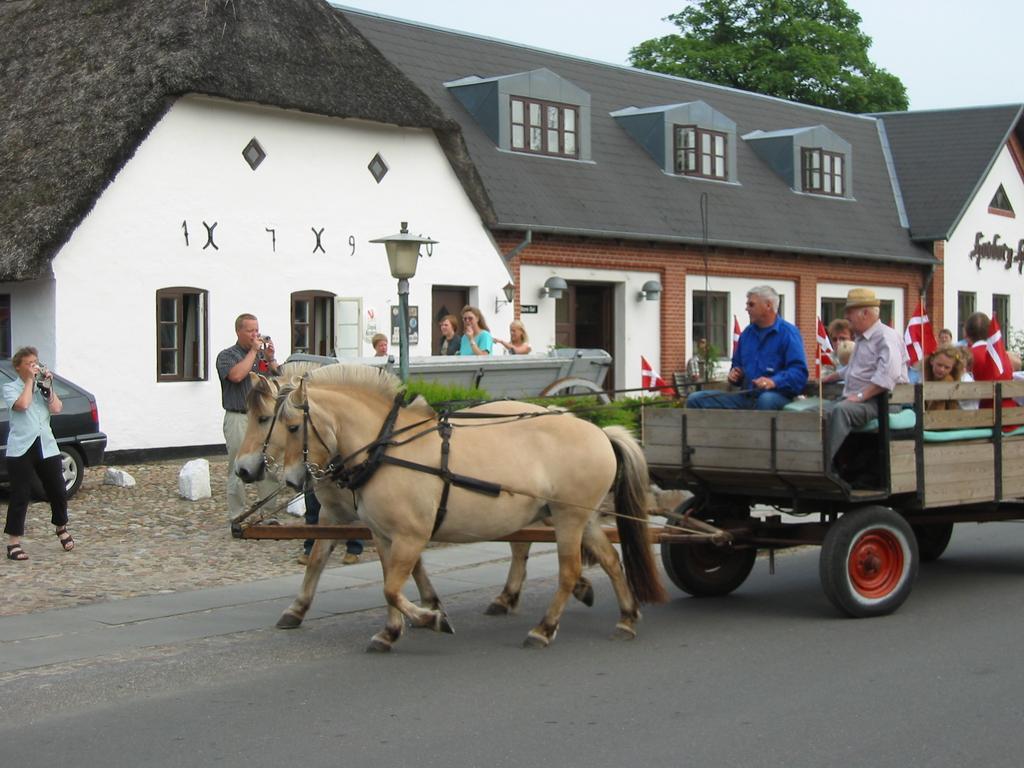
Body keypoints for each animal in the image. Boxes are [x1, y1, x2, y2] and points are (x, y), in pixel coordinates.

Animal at [233, 368, 598, 630]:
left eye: (267, 419)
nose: (241, 468)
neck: (378, 444)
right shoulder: (344, 514)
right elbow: (320, 557)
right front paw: (297, 609)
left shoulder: (392, 517)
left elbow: (398, 564)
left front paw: (426, 608)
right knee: (528, 544)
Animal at [272, 364, 663, 651]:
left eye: (292, 427)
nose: (291, 480)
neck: (387, 448)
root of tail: (601, 433)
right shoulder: (384, 537)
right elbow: (389, 586)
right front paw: (391, 631)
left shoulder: (410, 537)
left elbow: (392, 589)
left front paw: (430, 618)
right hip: (583, 517)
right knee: (611, 561)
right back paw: (627, 616)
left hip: (568, 519)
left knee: (568, 572)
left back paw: (544, 628)